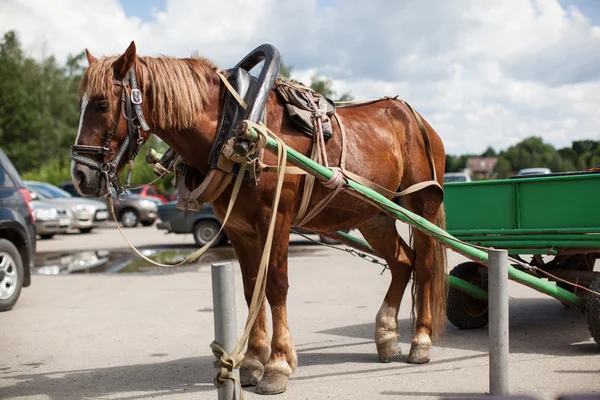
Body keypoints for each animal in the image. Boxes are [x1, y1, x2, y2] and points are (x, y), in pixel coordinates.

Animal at [70, 42, 448, 396]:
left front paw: (278, 365)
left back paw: (420, 341)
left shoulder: (275, 218)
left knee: (426, 264)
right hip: (374, 216)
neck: (236, 128)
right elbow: (253, 287)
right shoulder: (239, 228)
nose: (80, 175)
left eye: (102, 103)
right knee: (402, 263)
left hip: (420, 206)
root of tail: (416, 119)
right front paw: (252, 362)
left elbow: (277, 285)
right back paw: (386, 337)